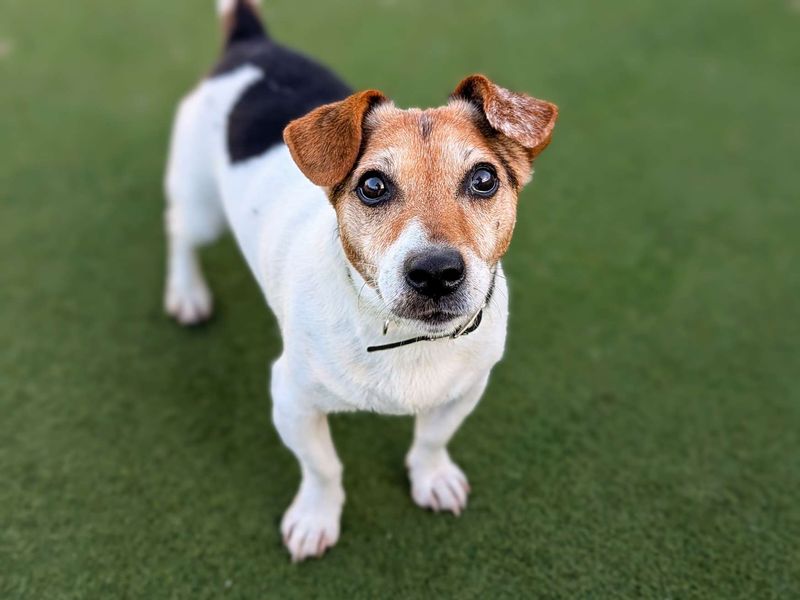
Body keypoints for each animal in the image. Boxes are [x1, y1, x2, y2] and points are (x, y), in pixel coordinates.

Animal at [166, 1, 560, 564]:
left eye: (484, 179)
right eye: (373, 185)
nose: (436, 272)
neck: (406, 338)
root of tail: (252, 42)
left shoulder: (466, 388)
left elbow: (433, 438)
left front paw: (432, 476)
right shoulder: (292, 399)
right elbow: (323, 468)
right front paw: (315, 517)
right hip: (200, 206)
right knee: (180, 230)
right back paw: (187, 293)